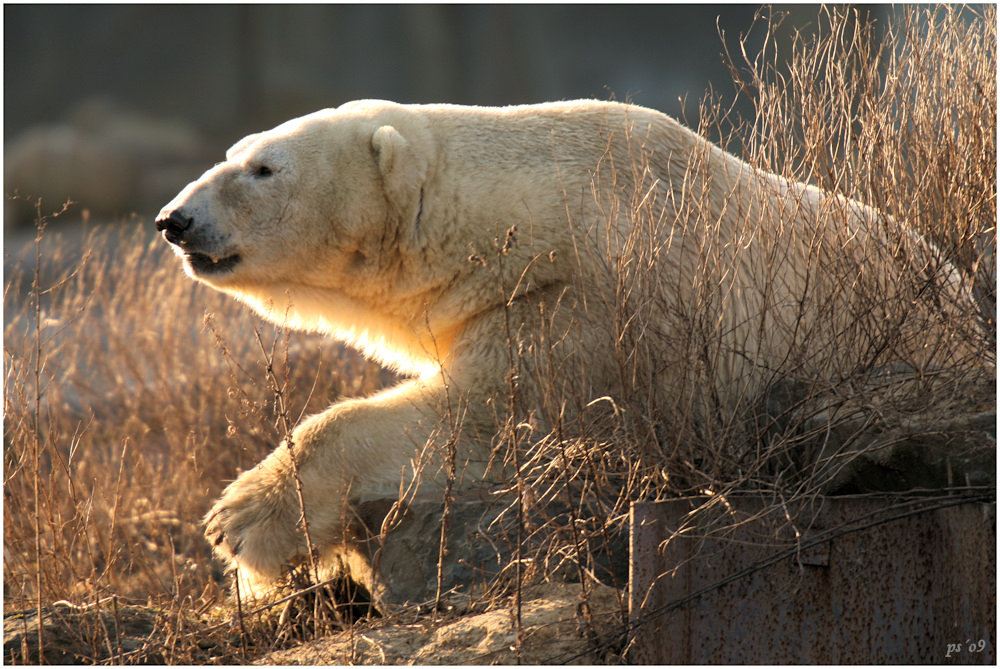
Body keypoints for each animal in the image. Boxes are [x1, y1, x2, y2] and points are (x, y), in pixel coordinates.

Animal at [154, 98, 960, 596]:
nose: (175, 220)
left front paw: (241, 521)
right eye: (236, 153)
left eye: (264, 167)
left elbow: (491, 413)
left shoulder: (595, 311)